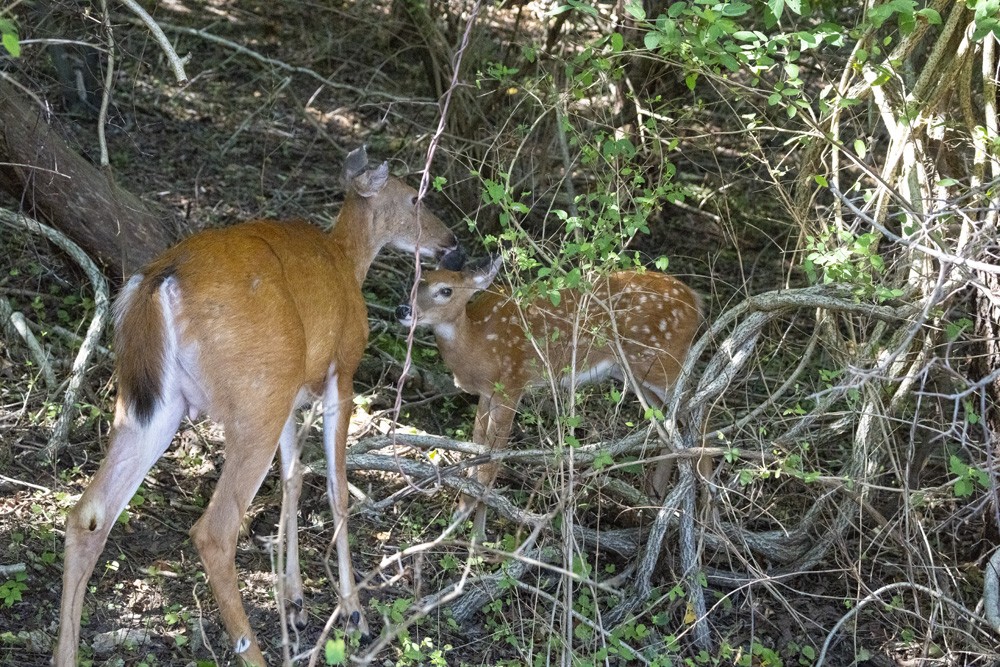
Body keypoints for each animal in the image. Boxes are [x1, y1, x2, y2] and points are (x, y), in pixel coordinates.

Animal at [54, 147, 460, 667]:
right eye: (415, 197)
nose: (451, 242)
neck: (347, 262)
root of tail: (158, 282)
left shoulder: (291, 397)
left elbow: (293, 480)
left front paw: (296, 603)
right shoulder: (342, 372)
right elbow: (337, 489)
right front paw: (353, 614)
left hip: (155, 403)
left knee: (88, 514)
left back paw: (65, 653)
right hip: (255, 396)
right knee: (214, 531)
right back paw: (259, 652)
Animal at [394, 256, 700, 536]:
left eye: (446, 290)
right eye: (417, 280)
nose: (402, 309)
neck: (478, 344)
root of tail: (696, 302)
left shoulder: (512, 383)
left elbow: (492, 462)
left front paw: (471, 539)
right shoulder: (487, 393)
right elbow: (477, 449)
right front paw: (469, 526)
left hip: (663, 361)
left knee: (694, 410)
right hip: (634, 373)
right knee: (670, 421)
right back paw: (651, 508)